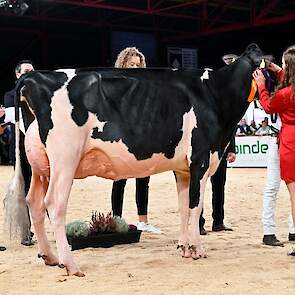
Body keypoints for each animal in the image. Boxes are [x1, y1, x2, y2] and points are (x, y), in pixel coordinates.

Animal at [8, 43, 264, 278]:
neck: (214, 93)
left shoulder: (183, 169)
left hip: (41, 164)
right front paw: (197, 249)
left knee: (34, 201)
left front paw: (184, 247)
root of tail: (34, 76)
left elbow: (183, 206)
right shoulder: (200, 160)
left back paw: (49, 256)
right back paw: (70, 264)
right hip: (65, 158)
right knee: (54, 203)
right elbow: (195, 206)